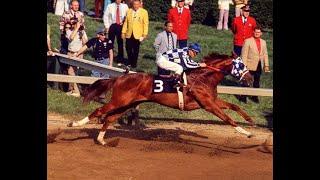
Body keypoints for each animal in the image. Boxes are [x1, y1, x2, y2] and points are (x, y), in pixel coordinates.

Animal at [68, 52, 255, 146]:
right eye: (241, 65)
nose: (251, 78)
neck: (203, 77)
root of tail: (120, 77)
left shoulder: (212, 101)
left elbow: (234, 107)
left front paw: (250, 121)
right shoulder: (208, 104)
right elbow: (228, 119)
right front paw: (246, 133)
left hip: (128, 104)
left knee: (109, 118)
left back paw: (101, 140)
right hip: (119, 101)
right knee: (100, 111)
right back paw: (74, 124)